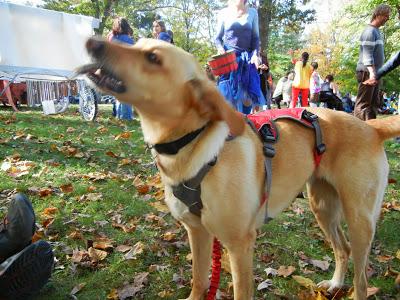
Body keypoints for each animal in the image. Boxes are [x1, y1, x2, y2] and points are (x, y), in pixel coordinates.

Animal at [77, 38, 400, 300]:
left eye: (153, 58)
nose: (92, 42)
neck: (193, 147)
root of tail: (371, 128)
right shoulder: (197, 232)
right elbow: (199, 280)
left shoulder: (240, 245)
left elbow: (240, 291)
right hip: (322, 206)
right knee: (342, 249)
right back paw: (334, 284)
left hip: (360, 220)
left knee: (361, 278)